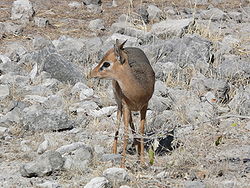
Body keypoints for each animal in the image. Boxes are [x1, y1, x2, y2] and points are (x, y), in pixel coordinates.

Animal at [90, 39, 154, 167]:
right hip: (120, 105)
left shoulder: (144, 106)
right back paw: (115, 151)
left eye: (106, 63)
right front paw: (122, 165)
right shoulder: (126, 106)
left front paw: (142, 161)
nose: (91, 73)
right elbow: (125, 134)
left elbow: (141, 131)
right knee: (119, 125)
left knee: (131, 125)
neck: (138, 89)